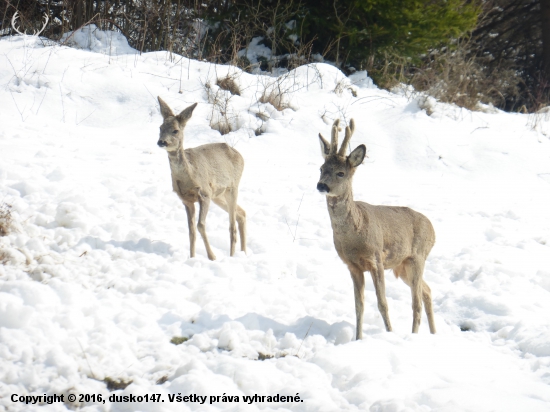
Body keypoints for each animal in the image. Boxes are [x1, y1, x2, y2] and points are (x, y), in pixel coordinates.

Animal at [157, 98, 248, 260]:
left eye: (175, 130)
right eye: (160, 127)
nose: (161, 142)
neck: (189, 177)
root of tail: (239, 155)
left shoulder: (204, 193)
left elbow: (200, 225)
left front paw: (212, 257)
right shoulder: (186, 200)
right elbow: (191, 230)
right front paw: (192, 258)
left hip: (232, 187)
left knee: (232, 225)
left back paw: (232, 256)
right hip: (218, 195)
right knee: (241, 213)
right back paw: (243, 253)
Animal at [316, 118, 438, 338]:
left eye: (341, 173)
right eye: (321, 168)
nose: (321, 186)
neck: (354, 236)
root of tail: (433, 229)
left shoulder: (376, 259)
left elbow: (383, 303)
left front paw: (389, 333)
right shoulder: (353, 266)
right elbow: (359, 306)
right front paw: (358, 339)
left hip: (417, 258)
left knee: (416, 303)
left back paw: (414, 335)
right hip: (402, 266)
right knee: (427, 291)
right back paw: (434, 334)